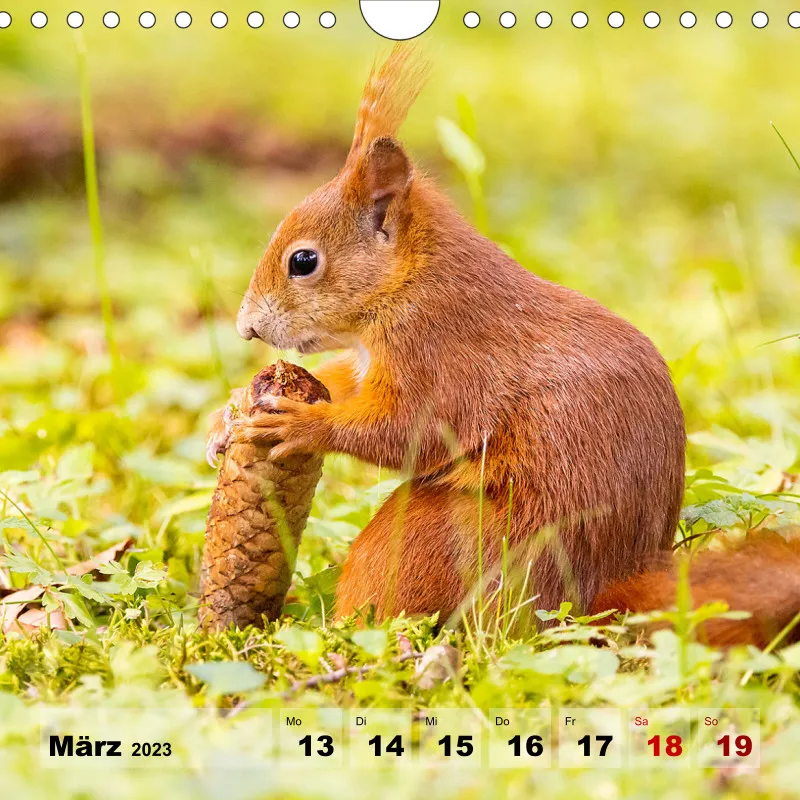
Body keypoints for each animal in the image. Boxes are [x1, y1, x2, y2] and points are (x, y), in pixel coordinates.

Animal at [210, 44, 799, 649]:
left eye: (303, 261)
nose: (246, 328)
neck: (414, 281)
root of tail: (594, 600)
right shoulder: (373, 357)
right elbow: (346, 382)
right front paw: (227, 414)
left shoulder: (441, 355)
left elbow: (407, 430)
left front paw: (301, 424)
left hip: (449, 539)